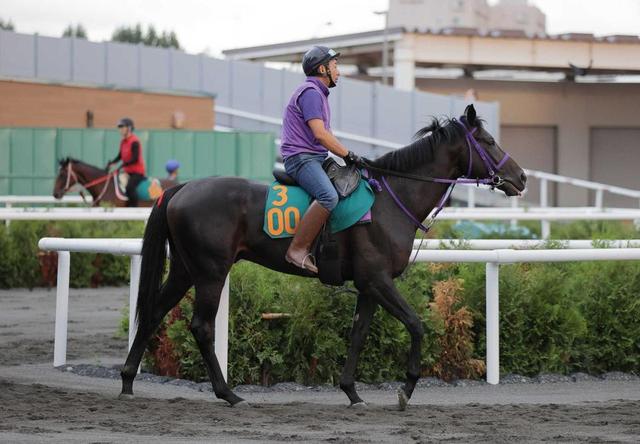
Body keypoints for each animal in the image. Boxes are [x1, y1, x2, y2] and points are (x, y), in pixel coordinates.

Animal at [122, 104, 528, 410]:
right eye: (488, 141)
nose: (521, 177)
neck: (390, 199)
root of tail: (182, 188)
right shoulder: (378, 280)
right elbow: (416, 324)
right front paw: (407, 387)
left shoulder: (368, 285)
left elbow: (358, 333)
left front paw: (352, 391)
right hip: (211, 271)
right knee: (202, 327)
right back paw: (229, 394)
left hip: (185, 269)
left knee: (154, 312)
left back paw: (127, 380)